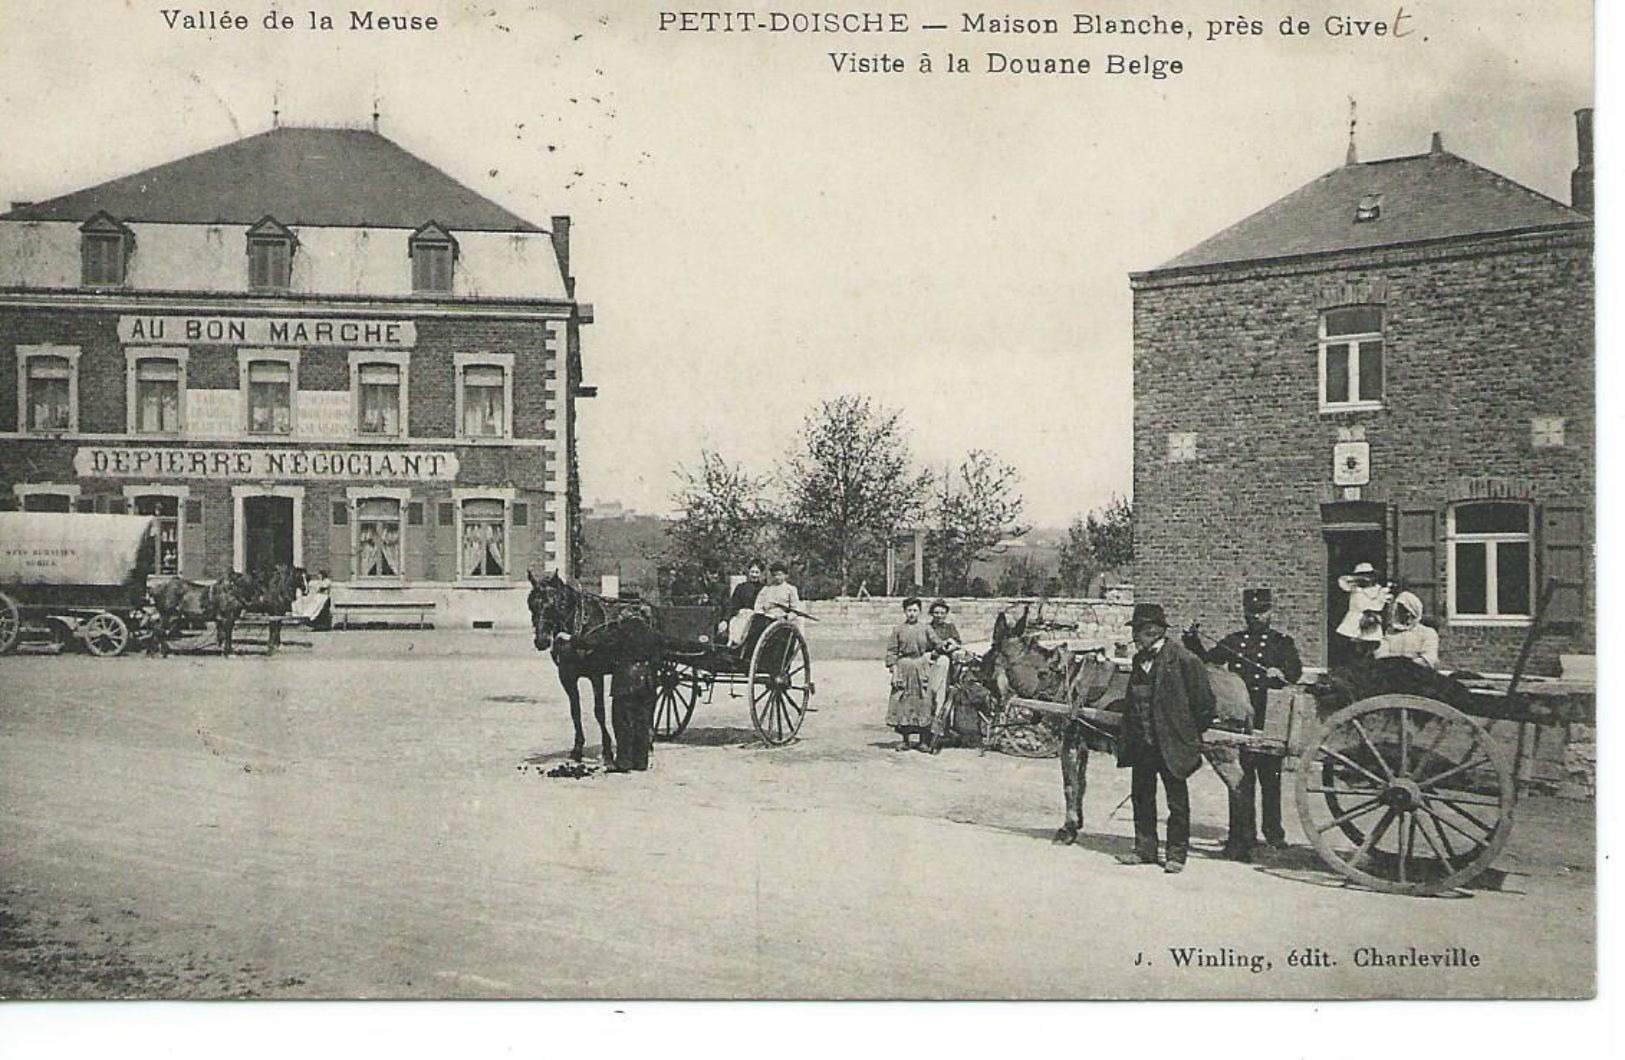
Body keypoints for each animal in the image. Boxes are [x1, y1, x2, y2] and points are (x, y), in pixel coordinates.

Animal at [152, 562, 307, 653]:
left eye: (308, 577)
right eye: (300, 577)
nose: (306, 591)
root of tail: (158, 588)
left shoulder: (276, 613)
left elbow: (275, 629)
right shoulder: (272, 613)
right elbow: (273, 629)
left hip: (173, 616)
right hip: (167, 615)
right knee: (159, 630)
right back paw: (163, 651)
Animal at [529, 572, 663, 760]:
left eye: (556, 605)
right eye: (532, 605)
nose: (541, 641)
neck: (579, 623)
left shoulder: (596, 674)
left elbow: (599, 711)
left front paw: (607, 749)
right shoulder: (567, 676)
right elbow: (575, 711)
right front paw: (578, 748)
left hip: (654, 665)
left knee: (651, 699)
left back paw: (649, 739)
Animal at [975, 611, 1241, 845]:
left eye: (988, 656)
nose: (979, 690)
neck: (1053, 679)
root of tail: (1237, 684)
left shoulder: (1069, 741)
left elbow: (1070, 785)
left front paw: (1067, 830)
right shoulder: (1081, 742)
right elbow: (1081, 784)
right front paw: (1076, 825)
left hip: (1222, 751)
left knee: (1238, 787)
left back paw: (1236, 846)